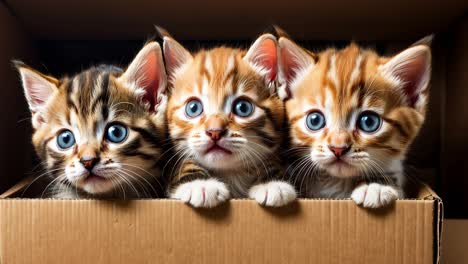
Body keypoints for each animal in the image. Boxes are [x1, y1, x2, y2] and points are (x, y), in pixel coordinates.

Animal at [161, 31, 296, 208]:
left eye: (243, 108)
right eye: (193, 108)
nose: (214, 132)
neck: (230, 173)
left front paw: (272, 182)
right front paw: (200, 184)